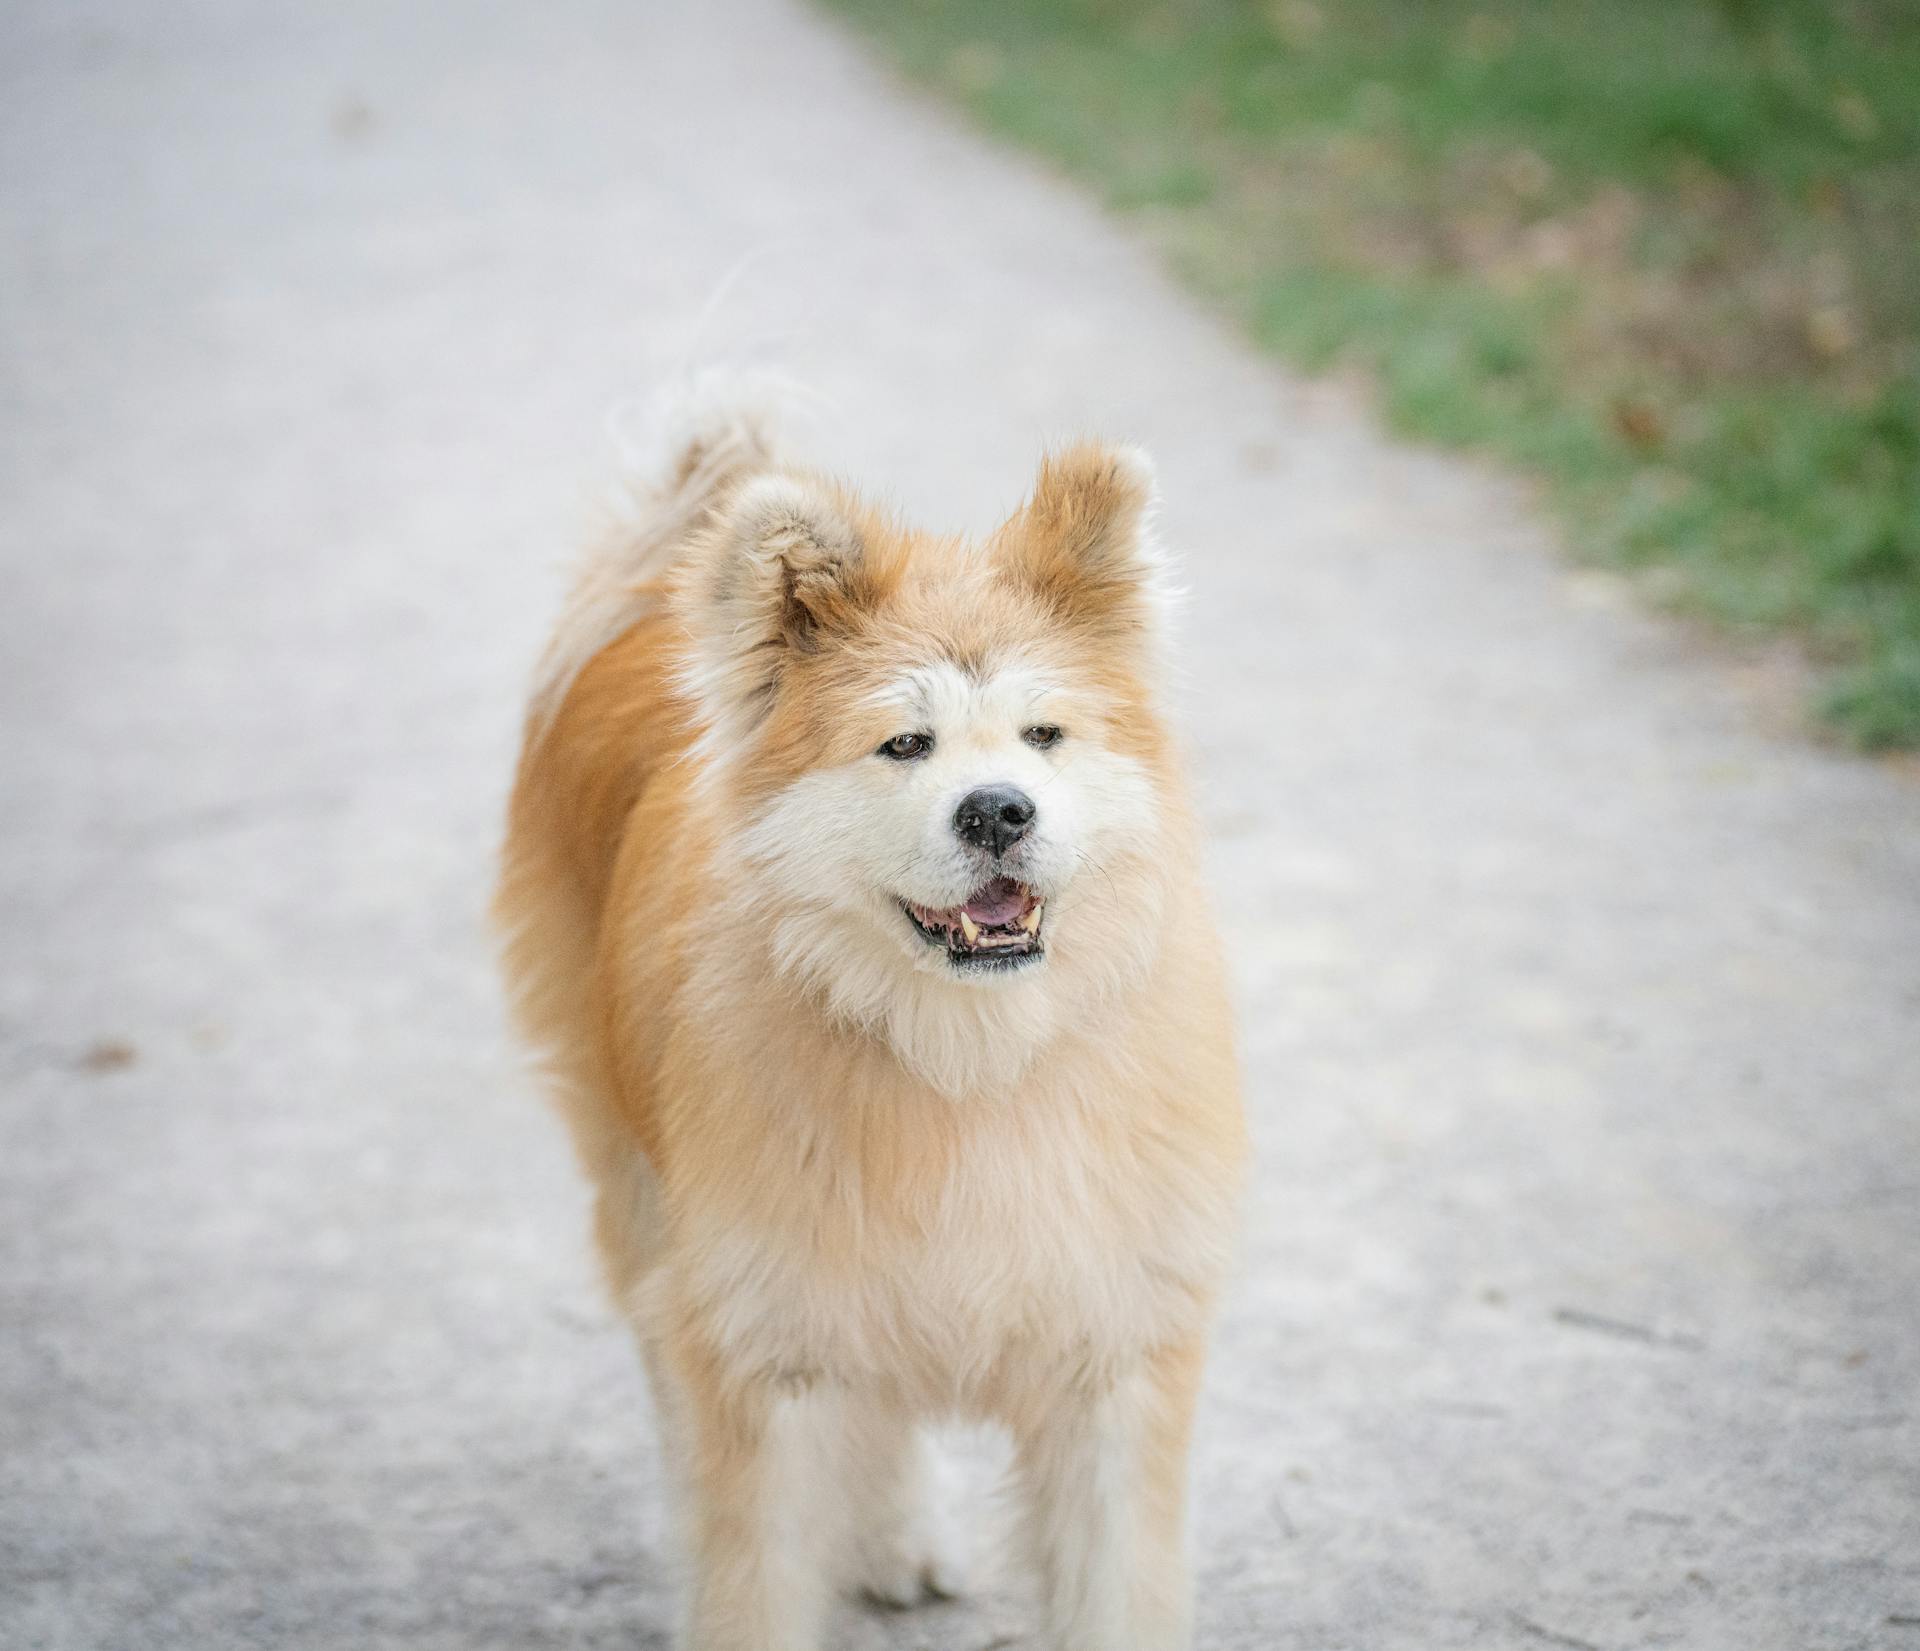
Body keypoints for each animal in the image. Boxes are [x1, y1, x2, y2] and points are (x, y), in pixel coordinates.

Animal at [495, 403, 1244, 1651]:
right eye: (904, 744)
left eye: (1044, 735)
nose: (999, 811)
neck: (967, 1062)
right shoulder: (761, 1348)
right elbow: (753, 1580)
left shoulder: (1115, 1354)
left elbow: (1115, 1589)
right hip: (647, 1196)